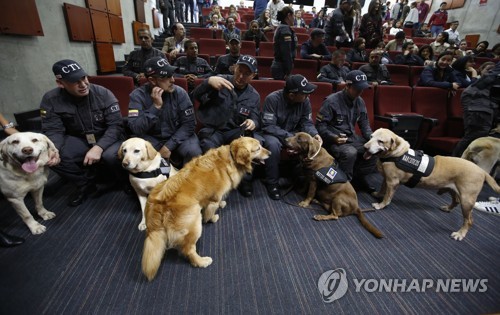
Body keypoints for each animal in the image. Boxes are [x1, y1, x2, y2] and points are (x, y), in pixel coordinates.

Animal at [364, 128, 500, 242]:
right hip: (452, 189)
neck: (396, 154)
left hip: (467, 201)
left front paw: (381, 205)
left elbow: (387, 197)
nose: (365, 147)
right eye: (370, 137)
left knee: (469, 220)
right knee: (455, 201)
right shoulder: (386, 179)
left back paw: (460, 233)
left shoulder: (392, 182)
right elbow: (383, 188)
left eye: (381, 141)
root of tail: (482, 171)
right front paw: (378, 194)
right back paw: (447, 208)